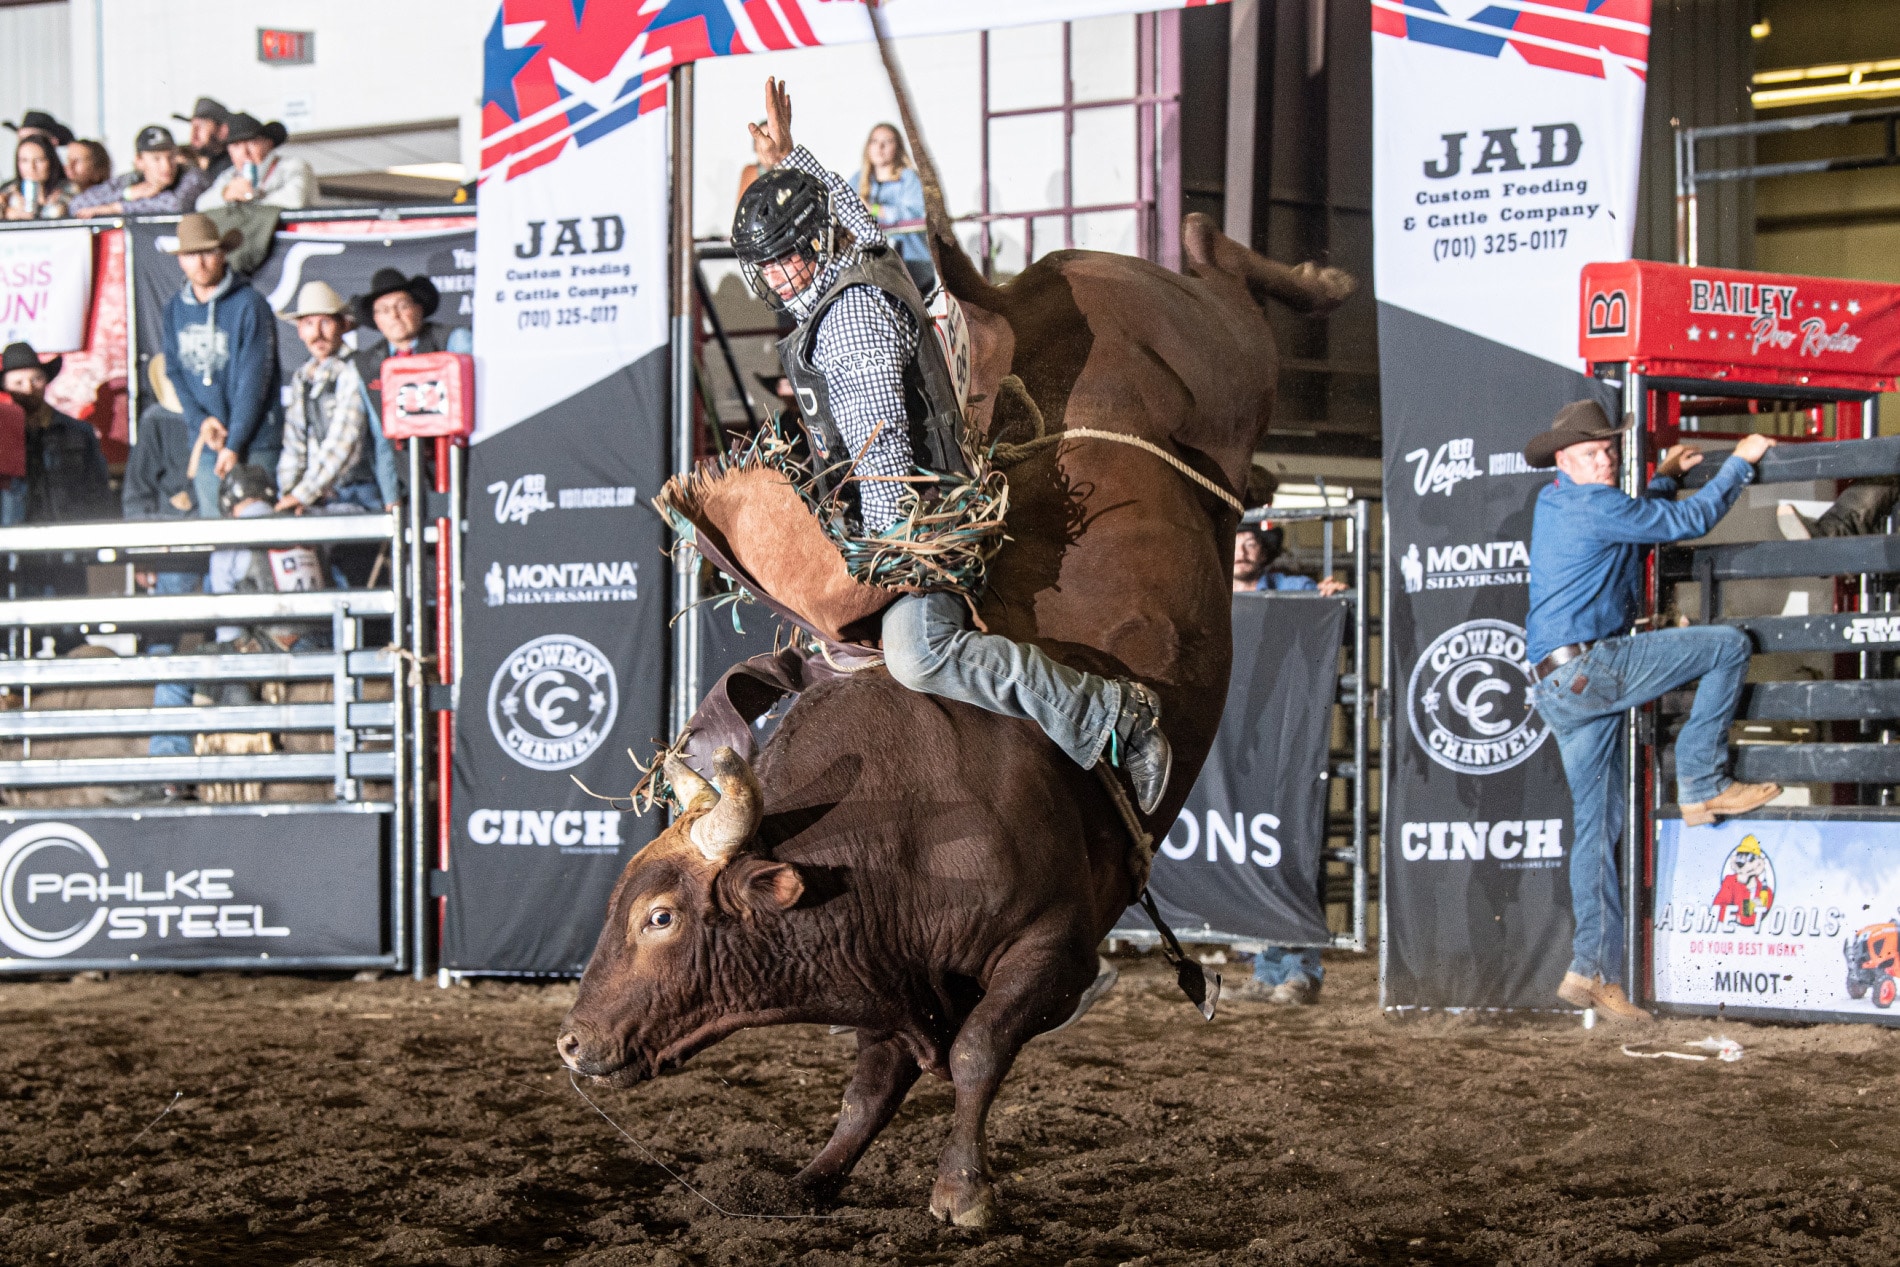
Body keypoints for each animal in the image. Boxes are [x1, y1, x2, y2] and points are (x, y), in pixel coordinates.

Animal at [554, 49, 1352, 1230]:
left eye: (658, 917)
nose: (571, 1040)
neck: (911, 816)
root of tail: (1020, 286)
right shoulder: (887, 974)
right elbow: (872, 1077)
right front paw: (812, 1176)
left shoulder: (1053, 949)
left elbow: (974, 1051)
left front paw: (963, 1191)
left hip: (1225, 355)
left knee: (1227, 281)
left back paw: (1304, 274)